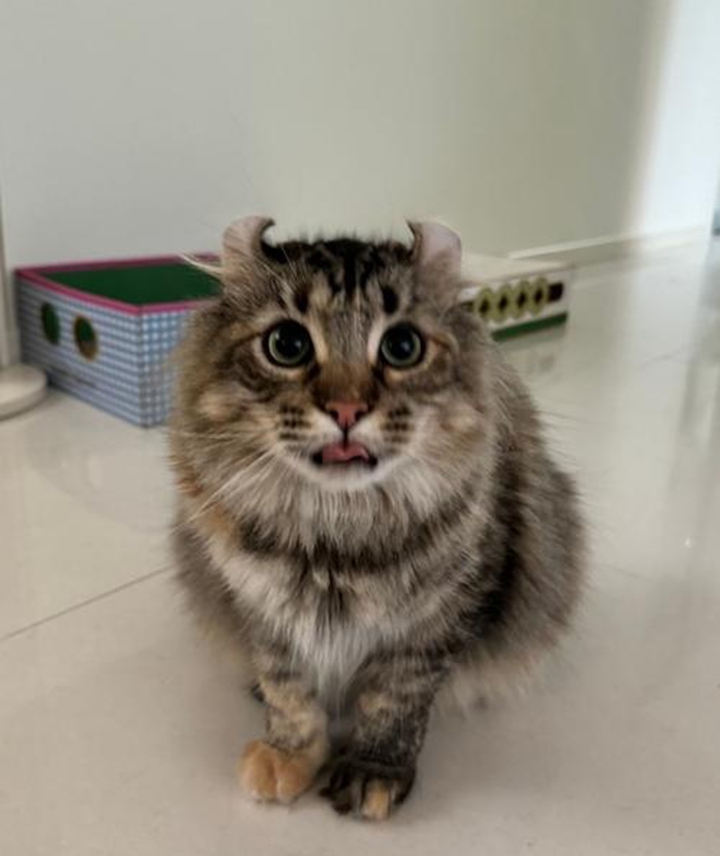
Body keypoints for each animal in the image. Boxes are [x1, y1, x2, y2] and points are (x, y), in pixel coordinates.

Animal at [169, 216, 585, 820]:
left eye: (402, 347)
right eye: (287, 345)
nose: (346, 410)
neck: (335, 543)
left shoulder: (434, 626)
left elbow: (394, 702)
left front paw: (374, 771)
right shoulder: (261, 609)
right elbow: (287, 691)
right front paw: (287, 754)